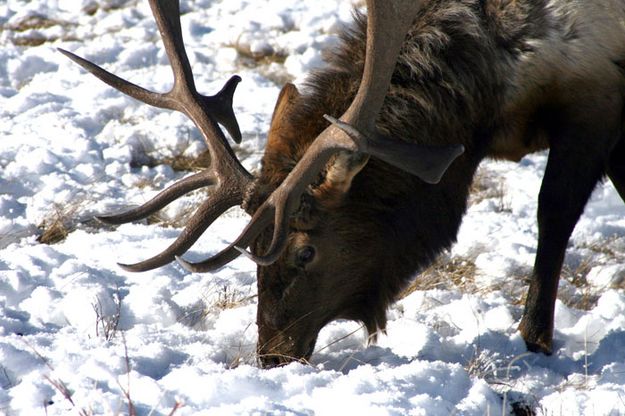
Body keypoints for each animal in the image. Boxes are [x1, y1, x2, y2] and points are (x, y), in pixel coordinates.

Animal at [59, 0, 624, 366]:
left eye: (305, 252)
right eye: (253, 256)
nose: (272, 356)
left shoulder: (594, 107)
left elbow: (553, 214)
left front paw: (536, 341)